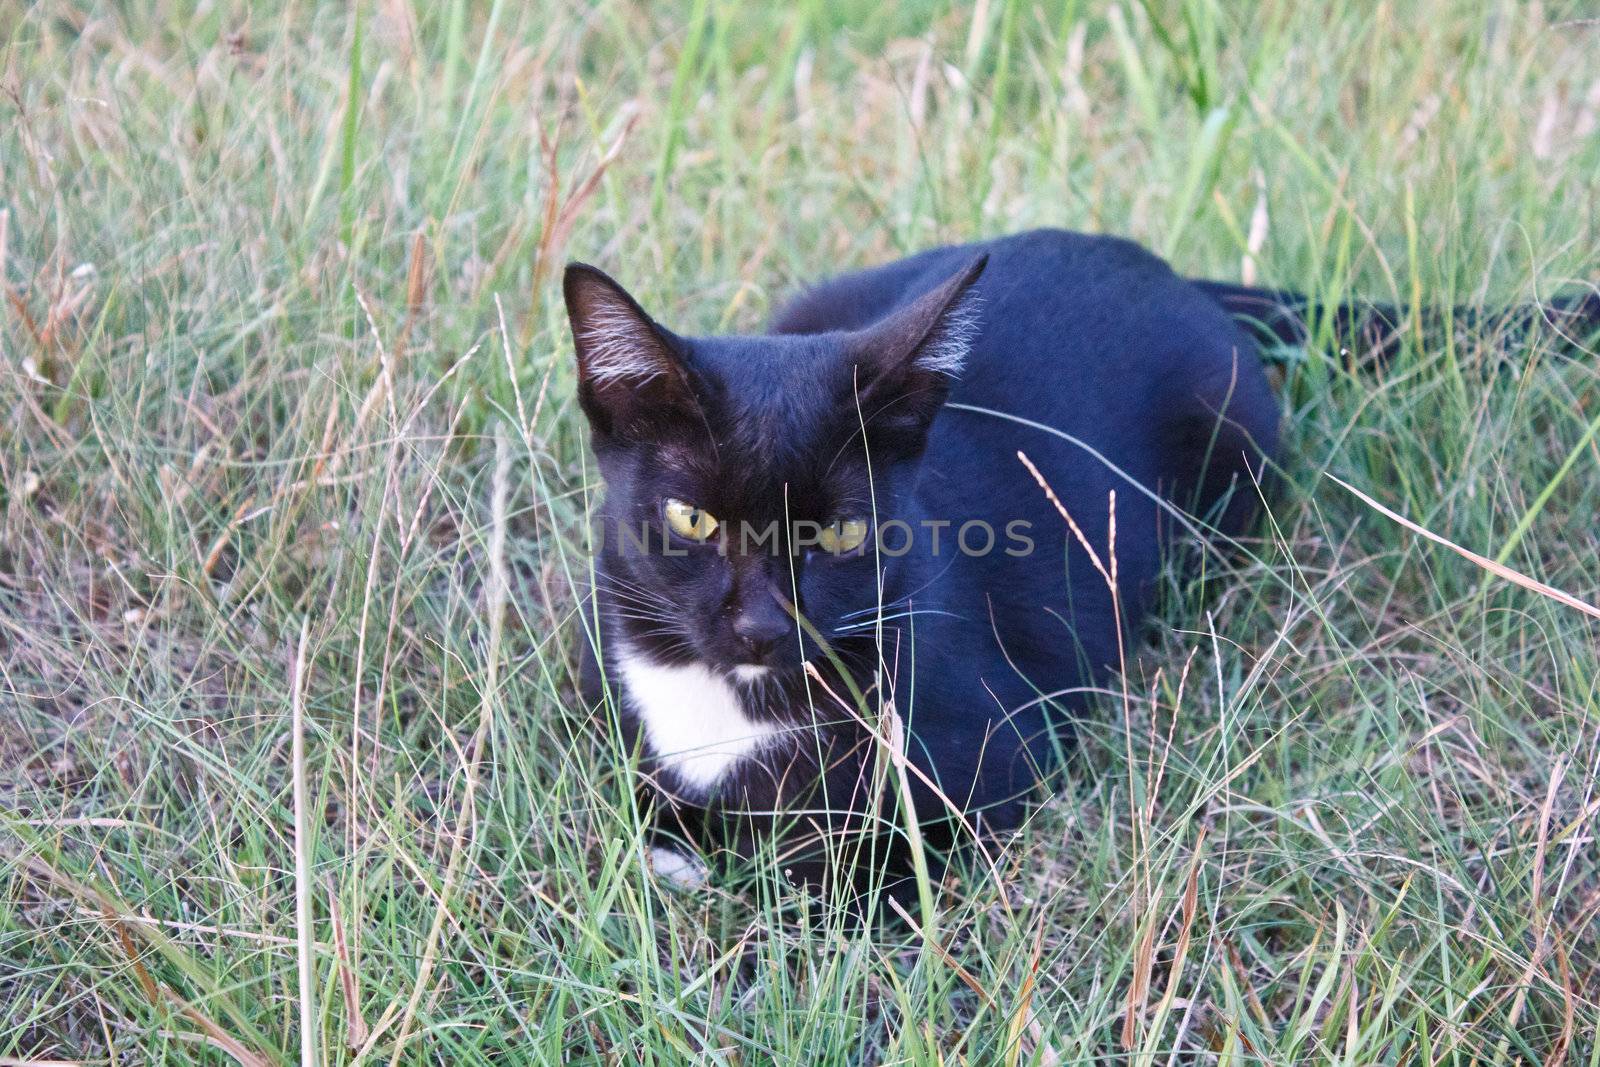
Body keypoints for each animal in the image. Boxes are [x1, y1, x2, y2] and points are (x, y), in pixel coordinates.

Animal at [569, 227, 1280, 902]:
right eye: (692, 520)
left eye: (843, 532)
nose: (762, 628)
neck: (730, 697)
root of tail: (1158, 267)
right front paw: (671, 846)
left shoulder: (995, 751)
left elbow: (857, 873)